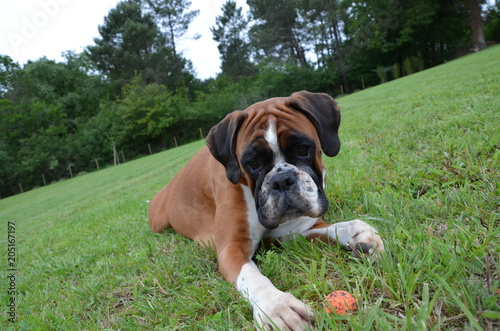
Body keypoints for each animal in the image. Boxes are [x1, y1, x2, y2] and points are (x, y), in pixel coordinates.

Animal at [148, 91, 382, 331]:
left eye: (302, 149)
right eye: (252, 163)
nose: (282, 180)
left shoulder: (296, 232)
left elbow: (339, 227)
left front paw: (361, 235)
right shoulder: (232, 248)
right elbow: (252, 277)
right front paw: (277, 307)